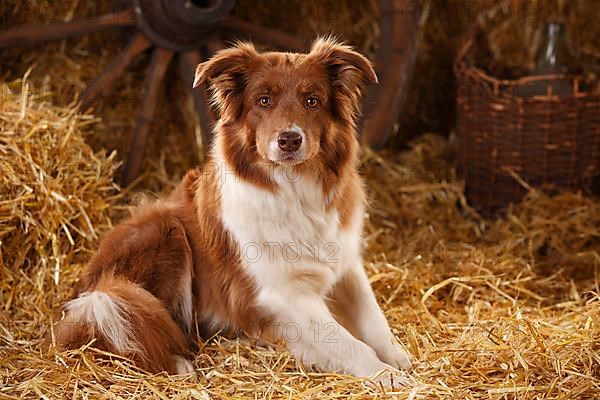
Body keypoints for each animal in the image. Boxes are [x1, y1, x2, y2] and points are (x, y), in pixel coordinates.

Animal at [52, 39, 412, 386]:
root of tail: (87, 288)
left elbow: (373, 318)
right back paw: (180, 364)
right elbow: (349, 343)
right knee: (138, 327)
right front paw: (388, 376)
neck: (294, 190)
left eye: (312, 101)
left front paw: (397, 357)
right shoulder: (283, 294)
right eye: (263, 101)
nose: (289, 140)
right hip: (161, 233)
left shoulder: (345, 264)